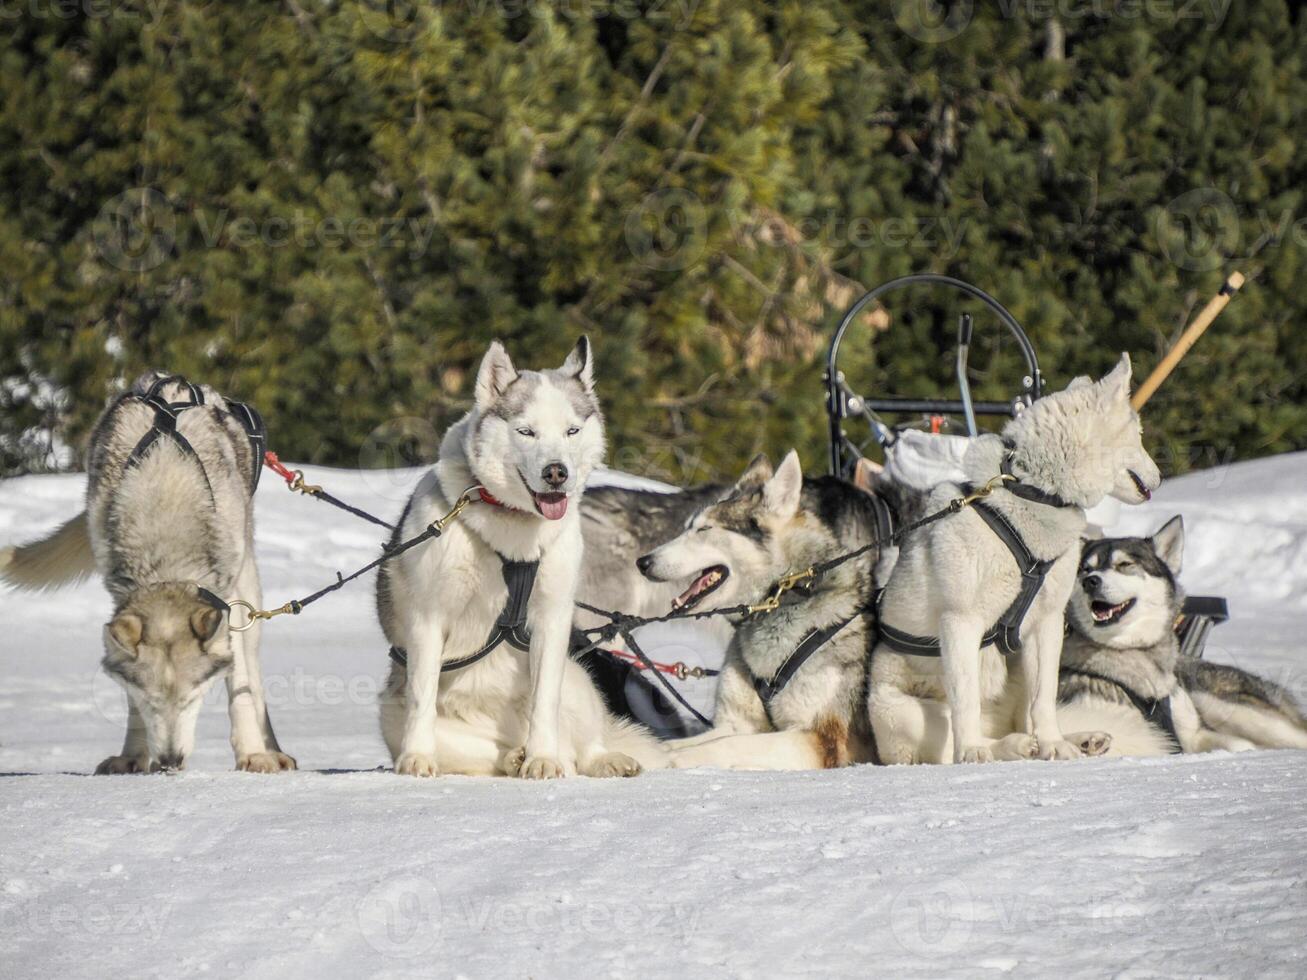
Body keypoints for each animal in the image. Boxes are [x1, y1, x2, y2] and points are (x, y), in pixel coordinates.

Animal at [0, 373, 291, 773]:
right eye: (151, 701)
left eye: (190, 699)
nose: (170, 761)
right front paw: (132, 757)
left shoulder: (228, 605)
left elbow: (240, 689)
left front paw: (251, 754)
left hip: (249, 593)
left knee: (254, 676)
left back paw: (271, 750)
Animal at [379, 342, 663, 778]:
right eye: (526, 431)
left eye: (572, 430)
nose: (556, 472)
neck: (512, 534)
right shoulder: (428, 619)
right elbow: (421, 700)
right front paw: (417, 757)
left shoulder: (552, 619)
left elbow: (545, 702)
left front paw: (542, 759)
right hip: (396, 717)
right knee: (483, 751)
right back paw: (511, 756)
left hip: (578, 681)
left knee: (581, 745)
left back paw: (593, 758)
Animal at [635, 457, 883, 773]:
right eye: (687, 527)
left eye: (704, 530)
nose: (643, 562)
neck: (783, 598)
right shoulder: (737, 723)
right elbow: (683, 743)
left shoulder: (821, 741)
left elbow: (721, 748)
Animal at [867, 358, 1165, 768]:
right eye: (1138, 434)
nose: (1161, 477)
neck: (1030, 493)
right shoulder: (960, 623)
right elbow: (965, 704)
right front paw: (973, 752)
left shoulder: (1047, 624)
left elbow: (1045, 701)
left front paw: (1055, 744)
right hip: (906, 712)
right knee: (958, 739)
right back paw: (1002, 747)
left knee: (1025, 719)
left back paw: (1074, 740)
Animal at [1061, 517, 1307, 757]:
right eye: (1084, 569)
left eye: (1124, 565)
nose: (1090, 581)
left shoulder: (1193, 735)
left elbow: (1239, 745)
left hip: (1235, 711)